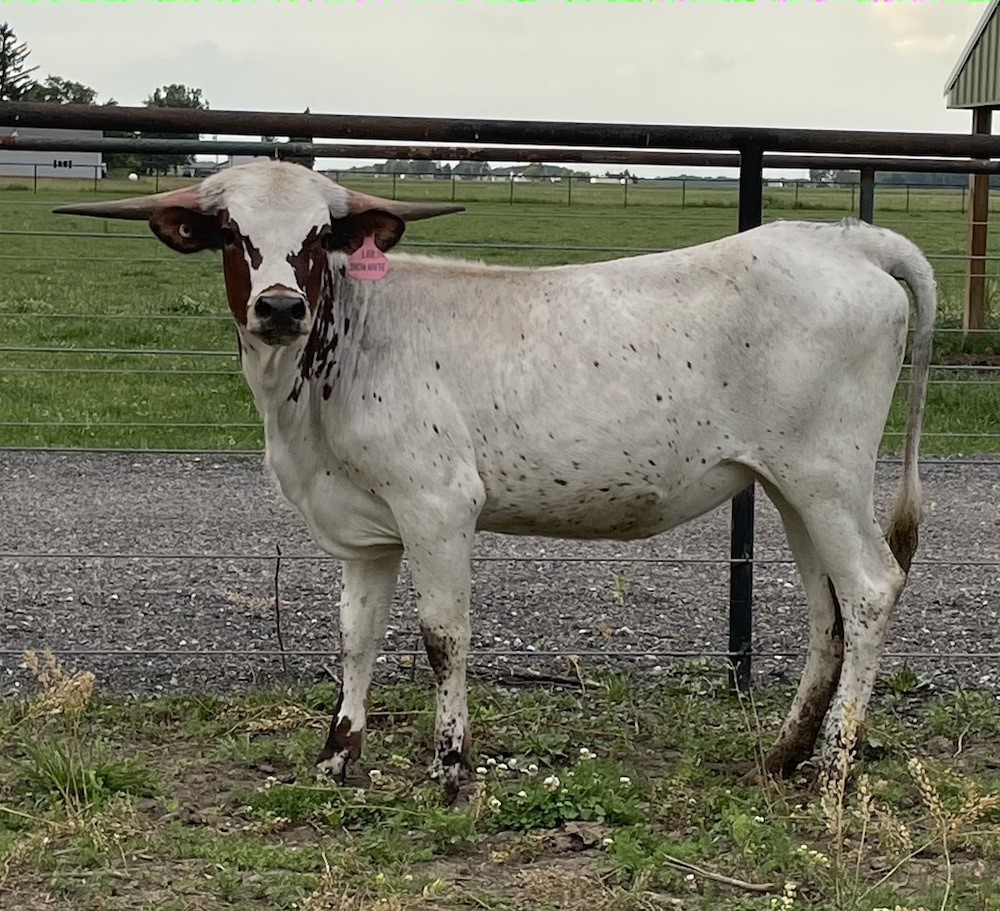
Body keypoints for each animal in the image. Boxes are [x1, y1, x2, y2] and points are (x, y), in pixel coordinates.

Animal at [55, 160, 936, 800]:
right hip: (789, 486)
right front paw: (338, 754)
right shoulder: (366, 532)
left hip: (826, 474)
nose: (279, 307)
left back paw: (833, 767)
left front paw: (450, 764)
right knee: (825, 610)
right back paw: (783, 754)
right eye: (232, 234)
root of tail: (844, 241)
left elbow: (443, 636)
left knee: (869, 588)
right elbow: (356, 636)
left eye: (319, 235)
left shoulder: (439, 504)